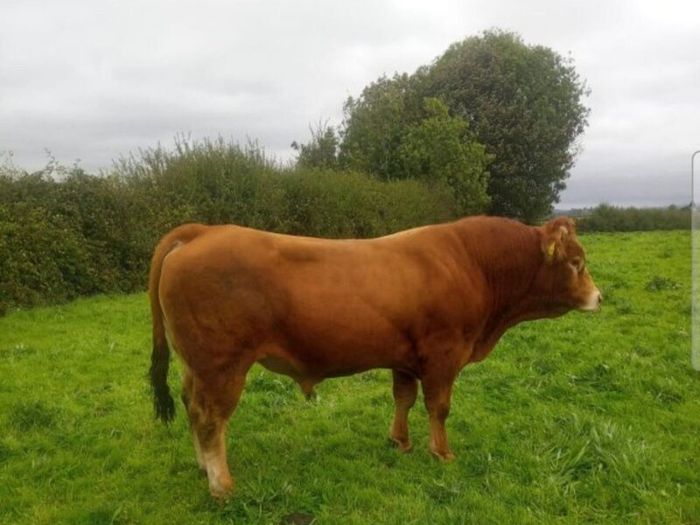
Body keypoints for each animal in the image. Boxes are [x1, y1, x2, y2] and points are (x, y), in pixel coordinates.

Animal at [148, 215, 601, 498]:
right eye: (577, 263)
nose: (599, 297)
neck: (472, 264)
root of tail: (204, 231)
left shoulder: (405, 357)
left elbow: (404, 398)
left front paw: (400, 442)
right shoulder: (443, 355)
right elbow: (439, 407)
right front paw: (442, 453)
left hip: (195, 367)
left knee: (192, 408)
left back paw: (203, 468)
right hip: (222, 366)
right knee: (211, 419)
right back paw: (221, 485)